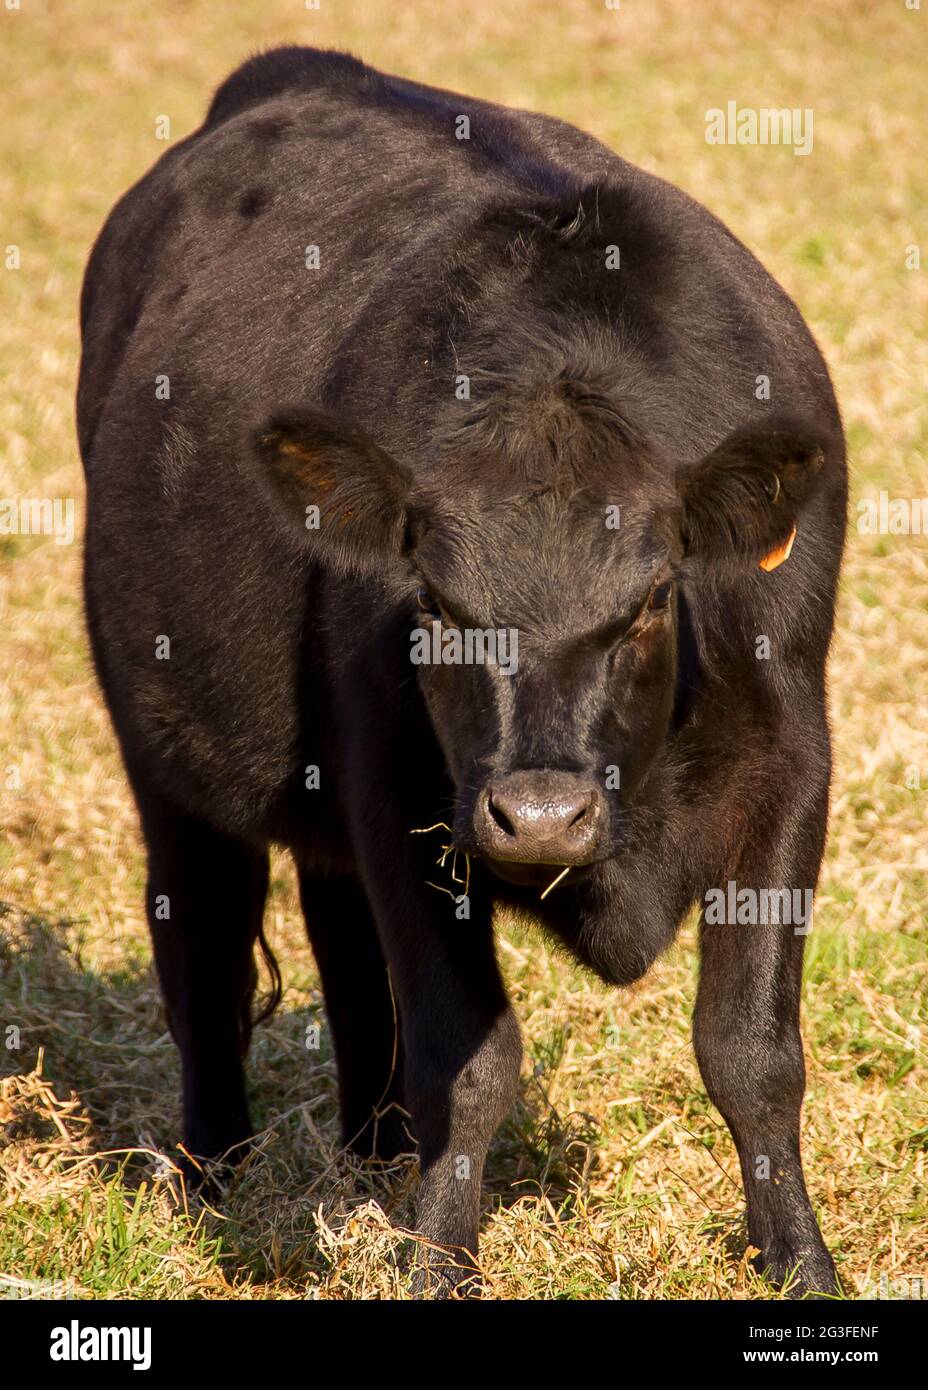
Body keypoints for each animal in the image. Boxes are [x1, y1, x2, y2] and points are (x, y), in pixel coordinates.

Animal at [79, 46, 850, 1301]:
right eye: (438, 604)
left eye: (650, 598)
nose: (537, 815)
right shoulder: (399, 792)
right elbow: (470, 1054)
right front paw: (438, 1259)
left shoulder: (790, 770)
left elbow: (752, 1050)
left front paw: (800, 1261)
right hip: (168, 761)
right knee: (206, 949)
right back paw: (214, 1174)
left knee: (339, 943)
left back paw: (375, 1149)